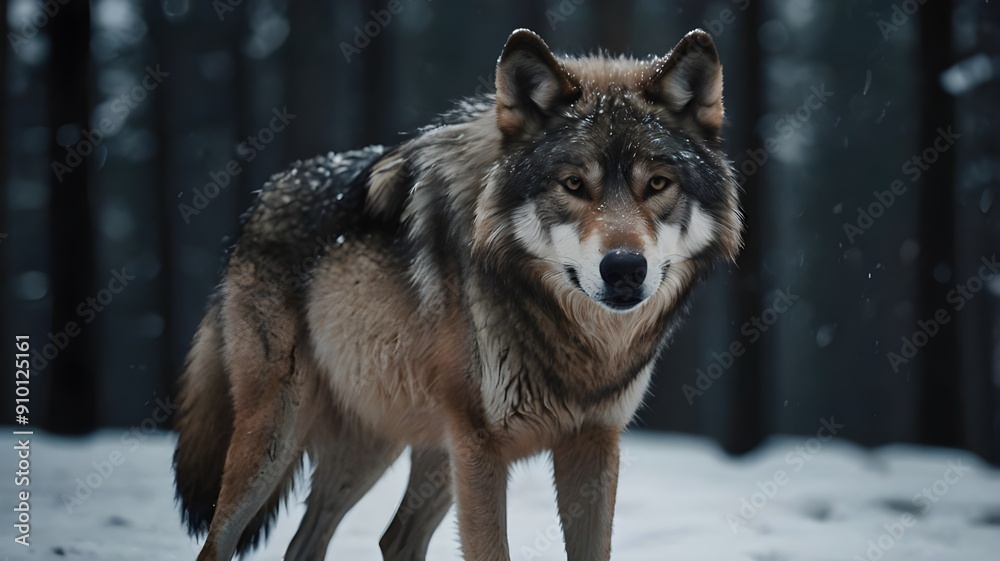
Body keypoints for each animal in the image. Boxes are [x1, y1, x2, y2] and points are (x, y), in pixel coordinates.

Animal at [173, 28, 742, 561]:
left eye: (658, 184)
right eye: (574, 184)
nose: (624, 269)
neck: (576, 341)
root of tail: (260, 200)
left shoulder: (593, 443)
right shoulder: (481, 445)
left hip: (392, 443)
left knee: (355, 541)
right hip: (280, 436)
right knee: (218, 544)